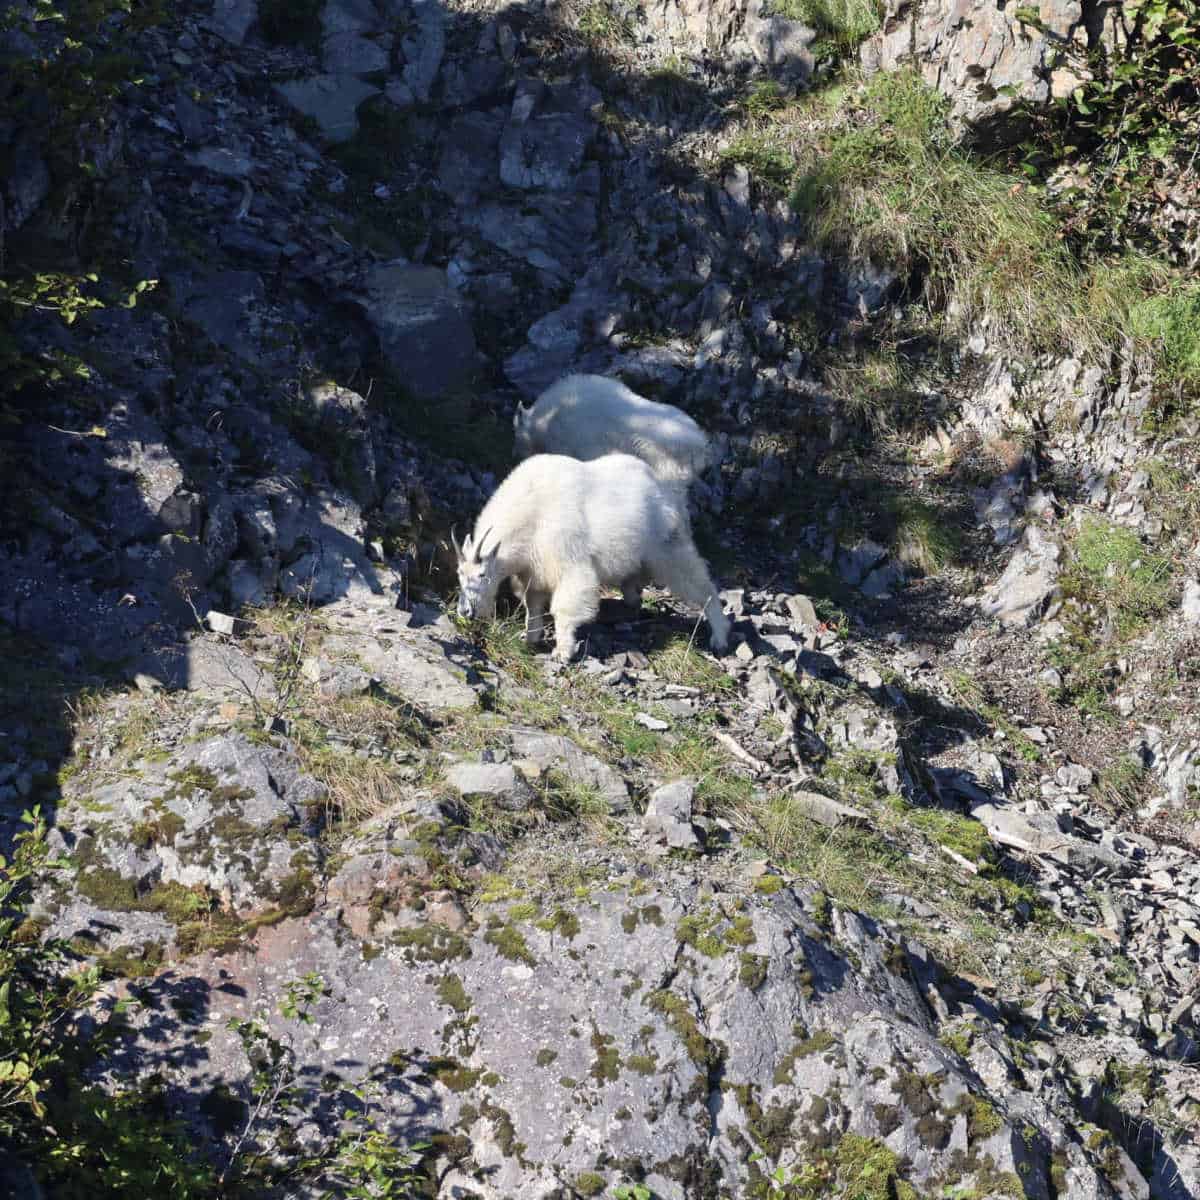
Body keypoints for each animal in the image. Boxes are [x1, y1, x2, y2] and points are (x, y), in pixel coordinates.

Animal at [451, 451, 724, 667]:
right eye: (459, 575)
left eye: (482, 575)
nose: (465, 611)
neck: (531, 513)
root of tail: (663, 489)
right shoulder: (534, 572)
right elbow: (533, 606)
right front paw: (530, 638)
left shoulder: (568, 564)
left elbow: (563, 608)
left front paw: (562, 652)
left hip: (669, 547)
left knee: (701, 585)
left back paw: (720, 637)